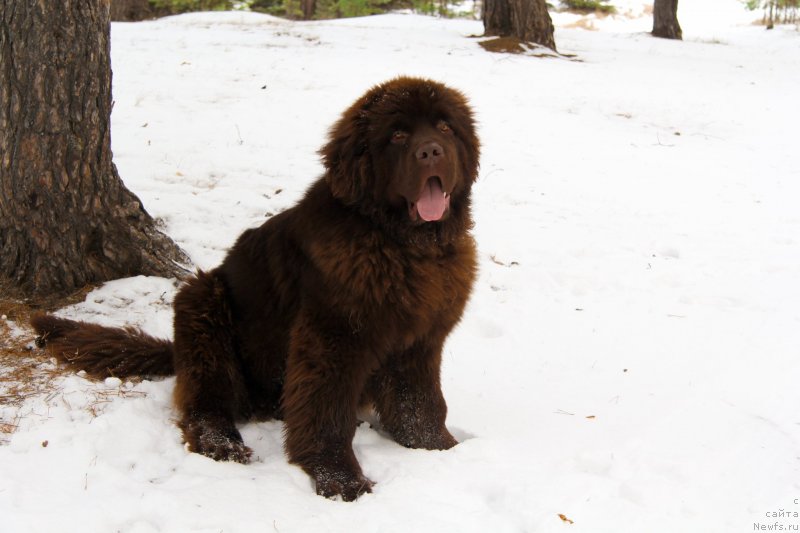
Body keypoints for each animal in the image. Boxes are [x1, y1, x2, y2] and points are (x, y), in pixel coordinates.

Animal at [31, 77, 478, 500]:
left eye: (445, 128)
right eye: (398, 135)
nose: (431, 152)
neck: (405, 247)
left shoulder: (419, 340)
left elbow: (419, 401)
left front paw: (438, 448)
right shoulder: (331, 338)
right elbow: (327, 412)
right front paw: (340, 480)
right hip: (203, 305)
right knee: (205, 402)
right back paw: (222, 443)